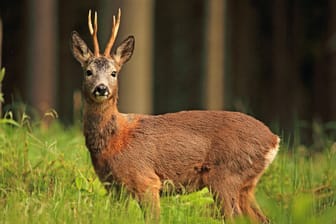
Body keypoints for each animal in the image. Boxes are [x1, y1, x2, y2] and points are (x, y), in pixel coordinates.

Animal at [71, 8, 280, 222]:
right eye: (88, 71)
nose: (101, 88)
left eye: (114, 73)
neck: (115, 141)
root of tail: (274, 140)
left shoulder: (146, 180)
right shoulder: (113, 187)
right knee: (262, 218)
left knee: (234, 216)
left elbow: (153, 217)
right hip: (246, 185)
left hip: (226, 175)